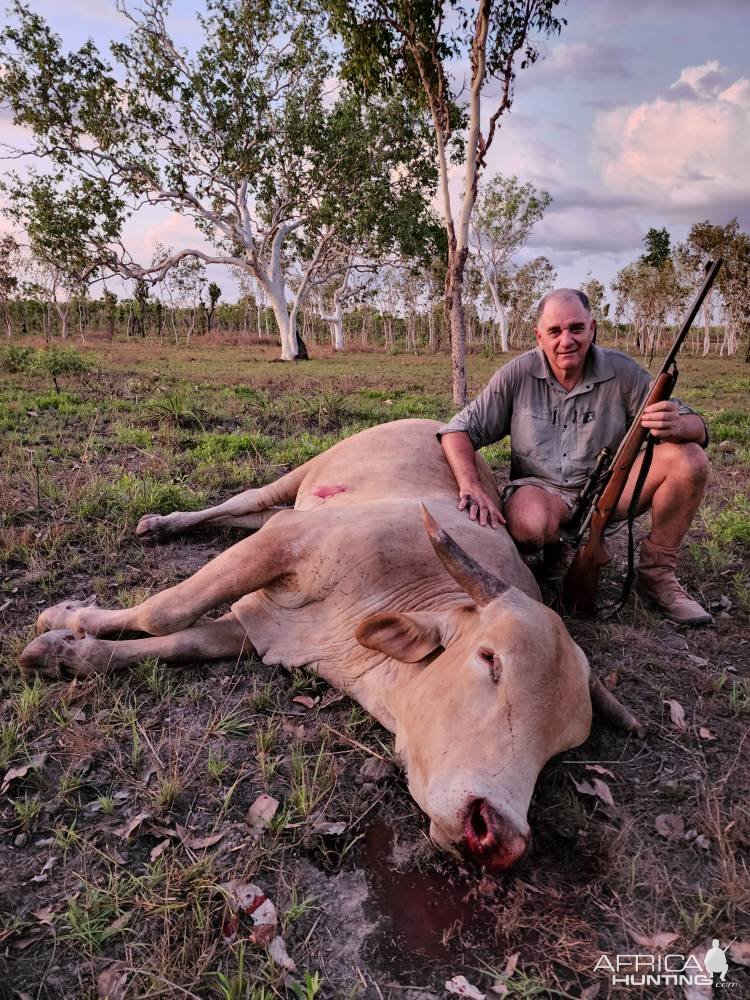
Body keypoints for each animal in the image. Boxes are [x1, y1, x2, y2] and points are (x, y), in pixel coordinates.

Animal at [23, 418, 648, 872]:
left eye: (562, 746)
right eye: (490, 660)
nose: (498, 837)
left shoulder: (259, 629)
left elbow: (175, 642)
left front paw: (67, 651)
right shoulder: (286, 544)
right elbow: (161, 612)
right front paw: (67, 615)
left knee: (254, 514)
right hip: (311, 470)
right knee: (248, 501)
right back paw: (161, 523)